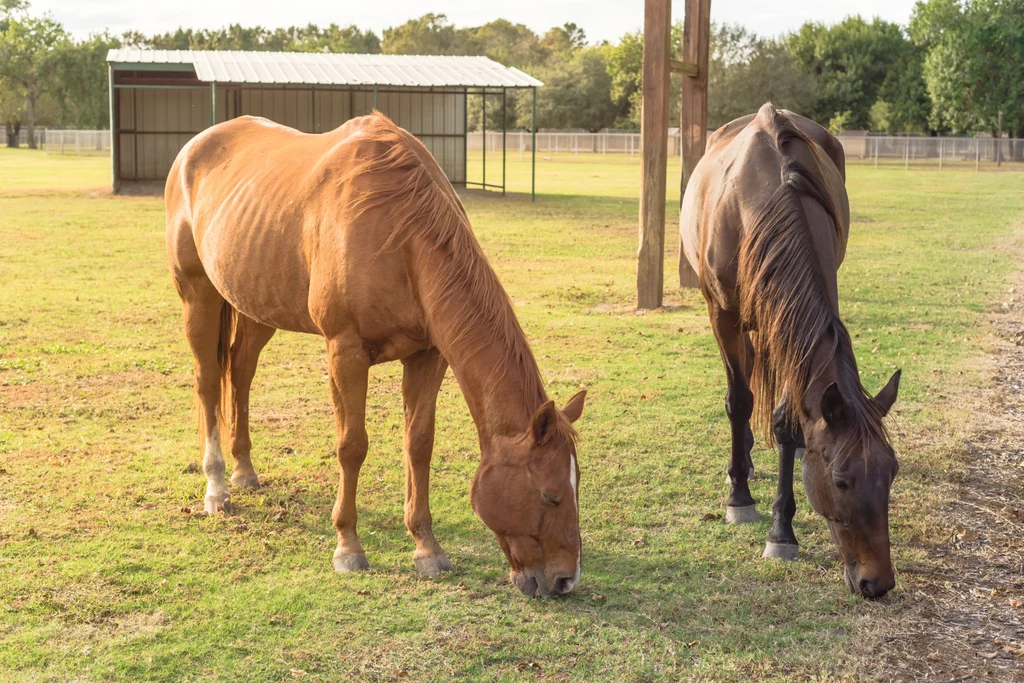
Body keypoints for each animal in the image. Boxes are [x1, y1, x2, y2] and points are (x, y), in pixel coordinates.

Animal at [164, 112, 589, 598]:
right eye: (550, 495)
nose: (566, 579)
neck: (400, 237)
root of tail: (194, 147)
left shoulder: (428, 356)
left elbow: (419, 445)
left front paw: (427, 549)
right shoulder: (345, 353)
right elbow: (352, 446)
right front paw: (348, 547)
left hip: (256, 305)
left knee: (241, 372)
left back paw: (244, 471)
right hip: (198, 296)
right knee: (208, 381)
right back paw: (217, 488)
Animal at [684, 104, 901, 602]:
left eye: (892, 473)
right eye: (841, 480)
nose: (878, 582)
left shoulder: (791, 320)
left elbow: (785, 419)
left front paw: (782, 528)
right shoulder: (722, 314)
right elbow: (739, 400)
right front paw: (743, 501)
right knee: (743, 389)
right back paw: (740, 465)